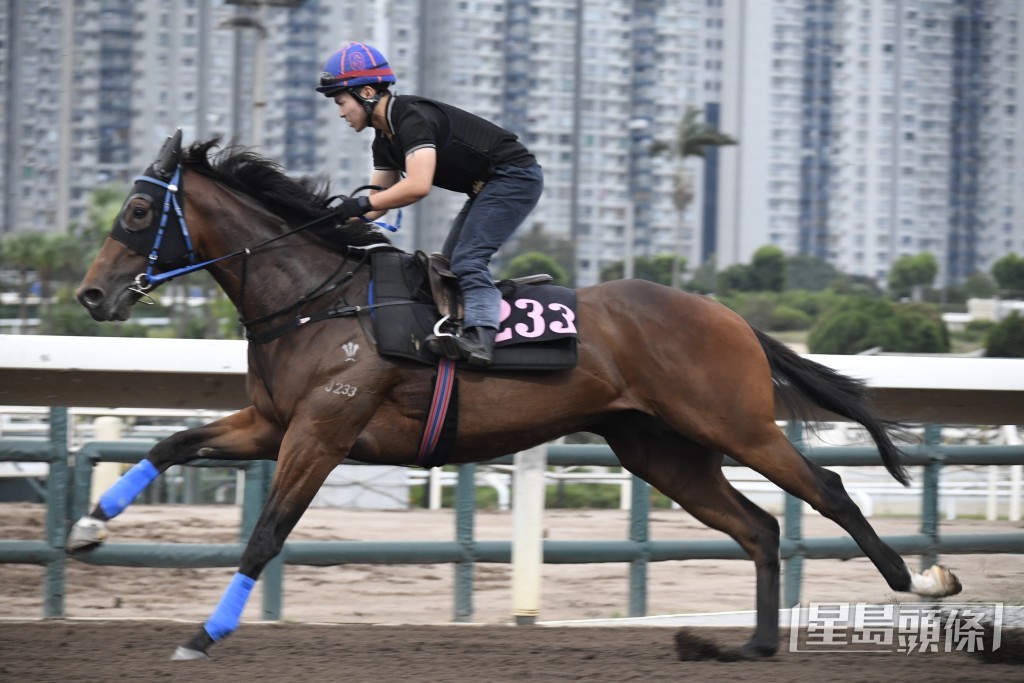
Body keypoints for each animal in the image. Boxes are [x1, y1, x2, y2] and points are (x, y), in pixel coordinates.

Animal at [68, 132, 954, 663]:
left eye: (139, 209)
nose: (90, 296)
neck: (319, 299)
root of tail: (730, 314)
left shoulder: (321, 431)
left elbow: (266, 533)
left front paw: (202, 634)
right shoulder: (273, 421)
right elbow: (170, 443)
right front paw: (87, 526)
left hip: (732, 422)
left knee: (826, 489)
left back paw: (923, 583)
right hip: (661, 449)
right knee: (760, 527)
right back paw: (751, 646)